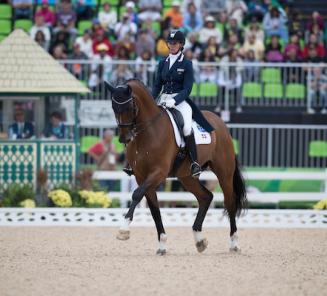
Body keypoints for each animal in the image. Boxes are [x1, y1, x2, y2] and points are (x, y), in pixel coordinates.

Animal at [104, 80, 247, 254]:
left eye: (129, 107)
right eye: (113, 107)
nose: (124, 138)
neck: (148, 132)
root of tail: (220, 123)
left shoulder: (158, 173)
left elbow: (137, 194)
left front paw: (124, 229)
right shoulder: (141, 176)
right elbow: (154, 210)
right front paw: (162, 244)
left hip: (224, 173)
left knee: (229, 201)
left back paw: (234, 243)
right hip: (187, 177)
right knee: (206, 197)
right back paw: (199, 240)